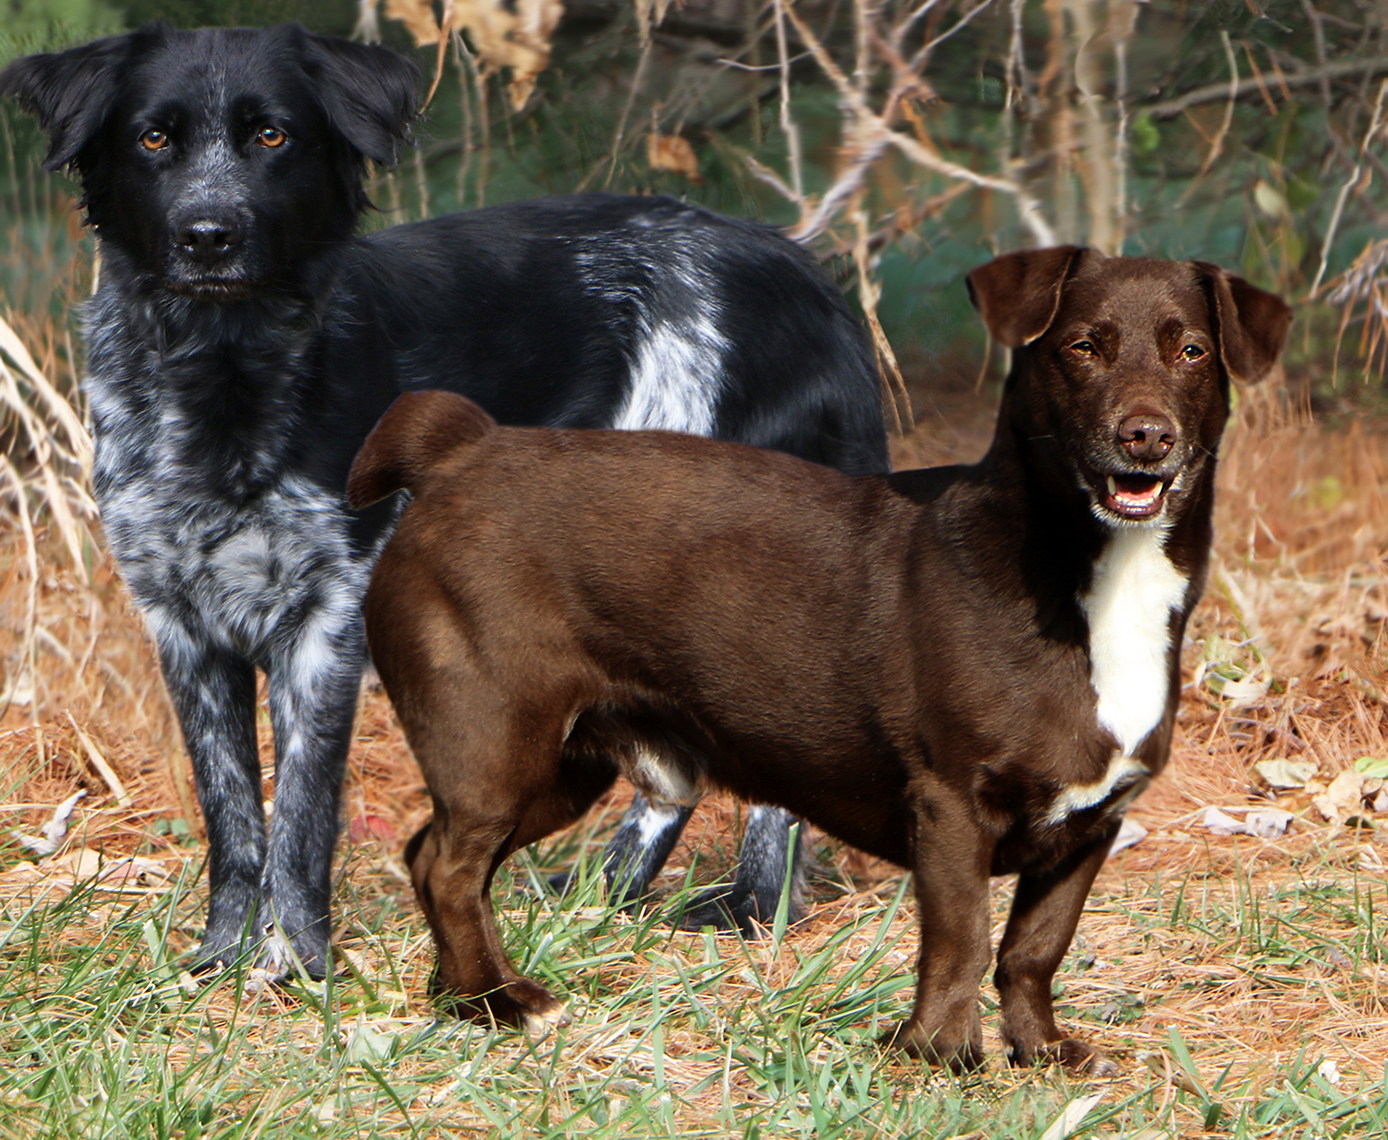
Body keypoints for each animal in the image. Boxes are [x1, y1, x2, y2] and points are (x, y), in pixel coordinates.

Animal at [0, 22, 888, 971]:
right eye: (153, 139)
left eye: (273, 136)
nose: (210, 235)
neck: (224, 376)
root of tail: (808, 273)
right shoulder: (182, 624)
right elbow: (232, 813)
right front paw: (220, 962)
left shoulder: (326, 623)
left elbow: (302, 817)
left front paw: (295, 966)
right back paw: (599, 901)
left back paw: (754, 908)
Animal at [349, 247, 1288, 1066]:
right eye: (1082, 348)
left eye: (1193, 352)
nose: (1145, 436)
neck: (1089, 584)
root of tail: (462, 450)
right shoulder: (952, 807)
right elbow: (962, 941)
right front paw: (942, 1056)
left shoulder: (1089, 829)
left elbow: (1032, 950)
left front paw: (1040, 1052)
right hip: (496, 744)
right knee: (451, 864)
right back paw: (500, 1003)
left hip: (559, 771)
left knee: (436, 860)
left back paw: (462, 998)